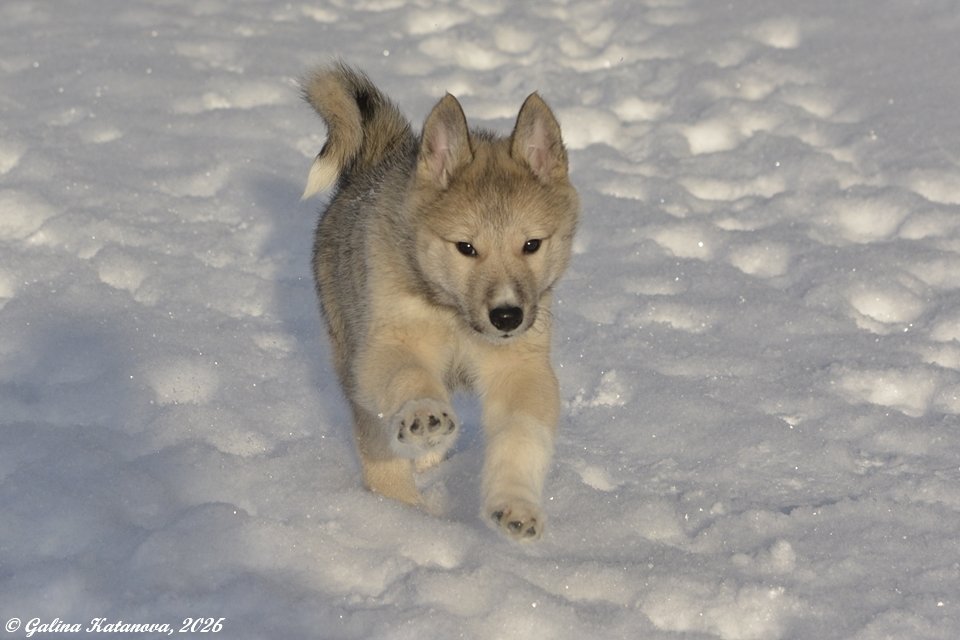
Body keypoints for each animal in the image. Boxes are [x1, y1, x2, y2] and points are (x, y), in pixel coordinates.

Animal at [301, 63, 579, 541]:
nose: (507, 316)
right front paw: (425, 415)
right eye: (465, 247)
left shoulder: (521, 368)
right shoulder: (386, 344)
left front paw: (516, 506)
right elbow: (410, 377)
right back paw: (402, 514)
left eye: (532, 244)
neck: (455, 317)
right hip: (349, 359)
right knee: (380, 451)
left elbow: (522, 436)